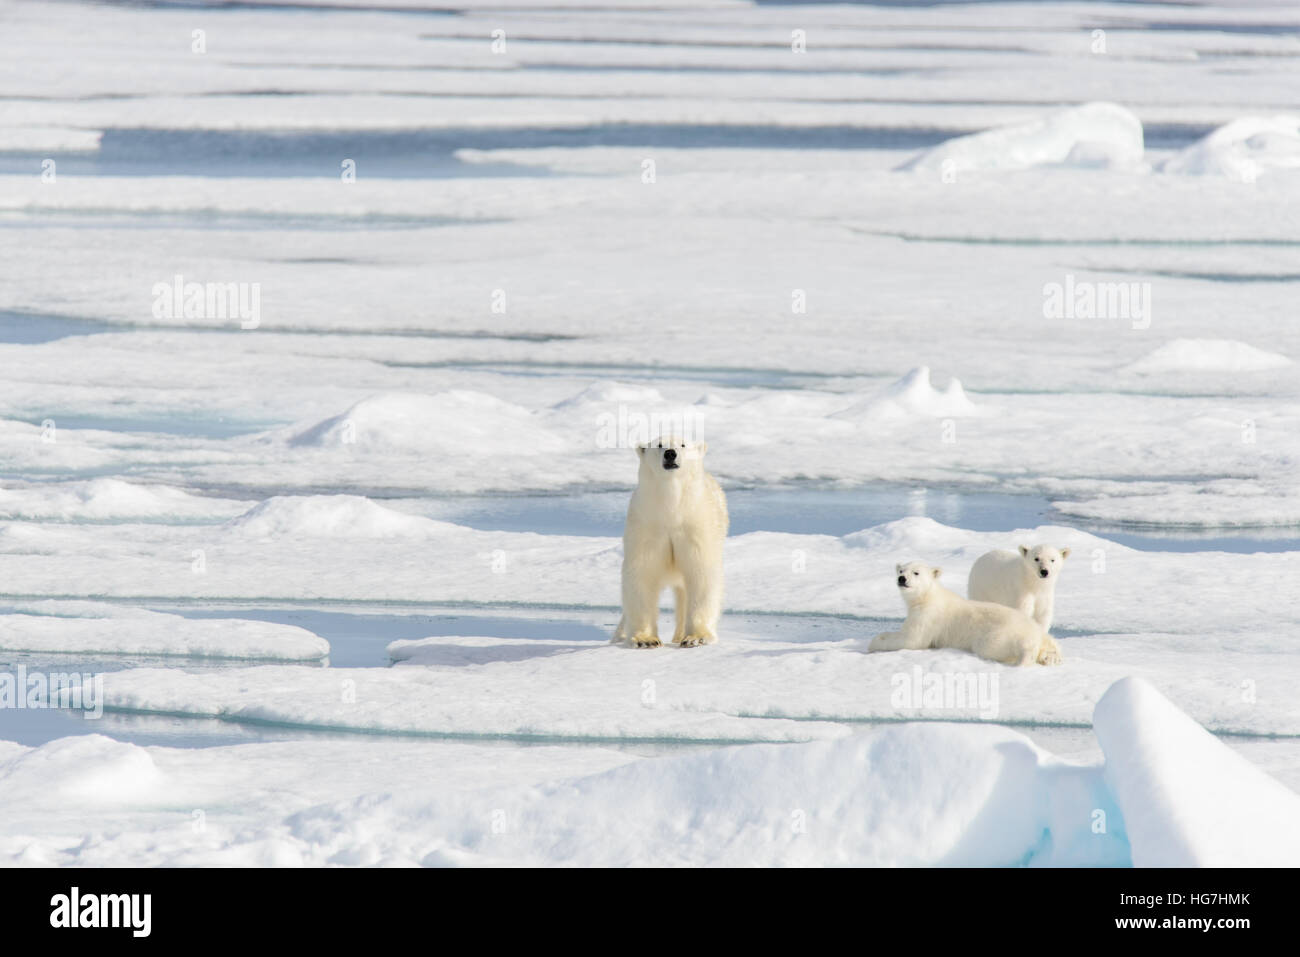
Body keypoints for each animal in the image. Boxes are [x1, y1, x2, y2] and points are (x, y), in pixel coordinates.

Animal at [613, 436, 728, 648]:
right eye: (659, 445)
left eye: (683, 444)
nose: (670, 453)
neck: (672, 510)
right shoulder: (647, 525)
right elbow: (642, 573)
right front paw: (645, 639)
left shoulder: (695, 526)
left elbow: (701, 573)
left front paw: (696, 637)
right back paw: (620, 635)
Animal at [868, 561, 1062, 666]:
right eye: (901, 570)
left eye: (916, 572)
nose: (902, 579)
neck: (928, 596)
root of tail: (1033, 633)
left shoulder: (928, 615)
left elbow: (913, 639)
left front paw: (874, 642)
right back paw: (1050, 657)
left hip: (1000, 633)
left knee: (992, 646)